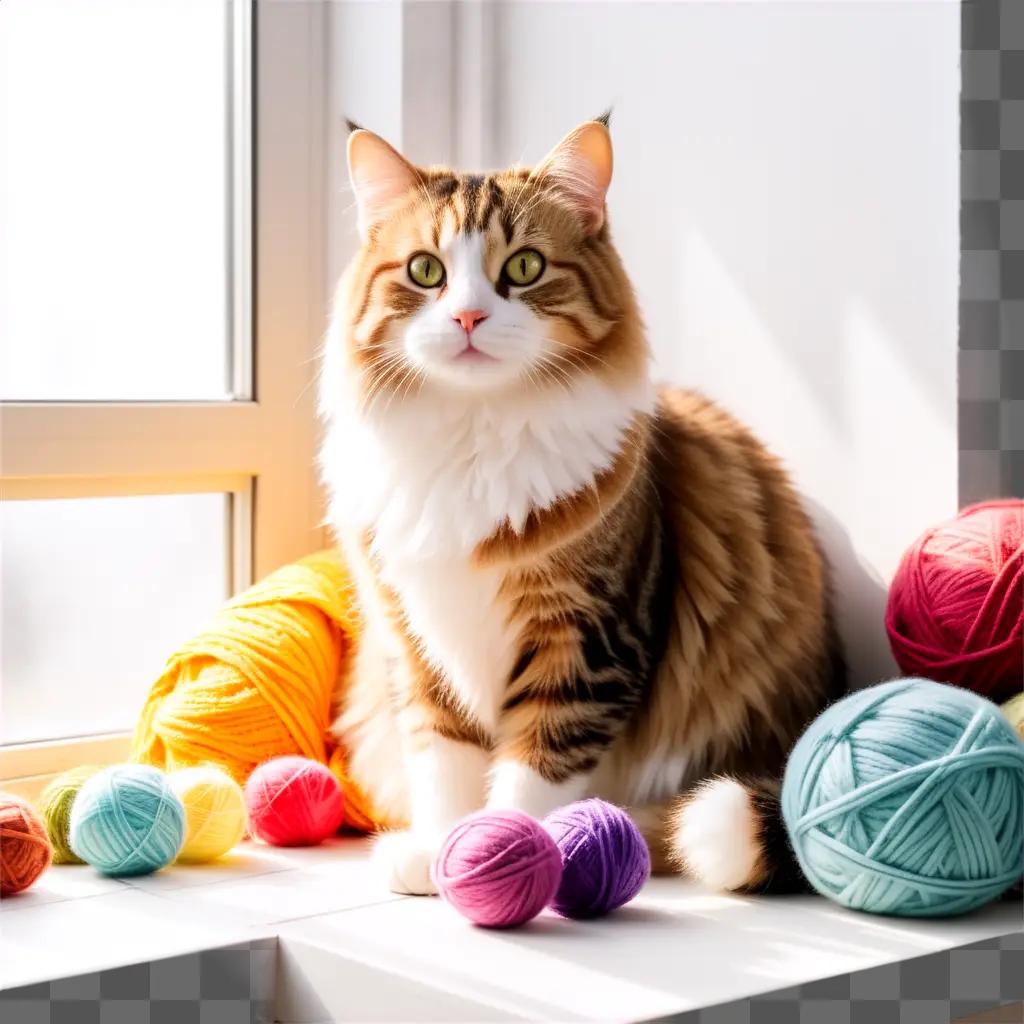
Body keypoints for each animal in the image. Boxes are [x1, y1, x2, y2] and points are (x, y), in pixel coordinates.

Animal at [315, 114, 843, 897]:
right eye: (426, 271)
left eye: (525, 268)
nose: (468, 316)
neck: (473, 437)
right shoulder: (419, 645)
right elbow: (444, 765)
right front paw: (440, 851)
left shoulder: (586, 643)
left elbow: (532, 774)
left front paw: (501, 855)